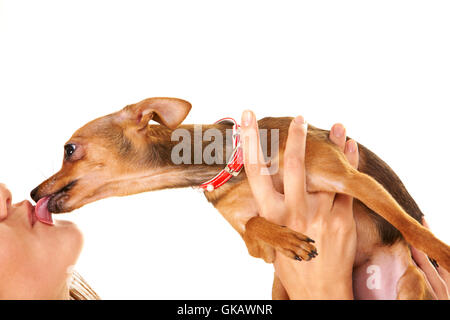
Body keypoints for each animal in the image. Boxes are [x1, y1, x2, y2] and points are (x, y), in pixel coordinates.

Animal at [30, 96, 450, 298]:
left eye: (69, 149)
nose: (34, 192)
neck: (233, 165)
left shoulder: (351, 179)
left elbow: (410, 225)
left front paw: (443, 253)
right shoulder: (255, 247)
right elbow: (254, 225)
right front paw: (288, 238)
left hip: (411, 284)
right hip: (280, 287)